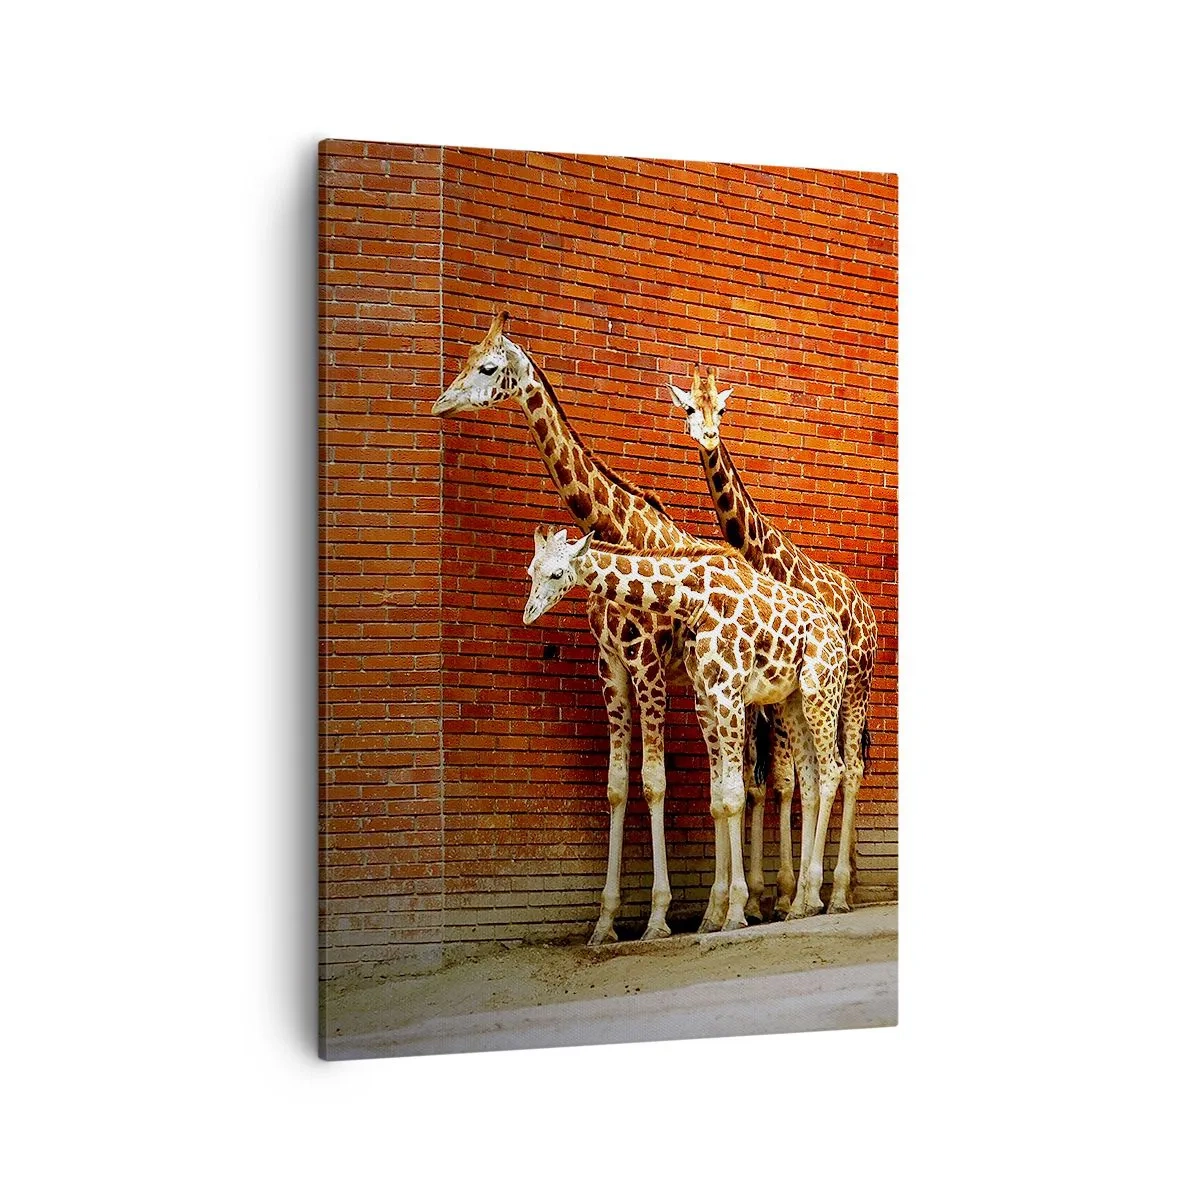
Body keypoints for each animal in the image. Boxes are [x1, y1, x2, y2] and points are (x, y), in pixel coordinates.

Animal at [433, 312, 743, 943]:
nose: (439, 404)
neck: (614, 527)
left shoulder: (647, 666)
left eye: (487, 366)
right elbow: (618, 786)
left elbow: (655, 782)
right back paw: (721, 908)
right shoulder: (612, 669)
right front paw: (605, 922)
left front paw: (656, 918)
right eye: (465, 358)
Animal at [522, 528, 847, 932]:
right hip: (791, 701)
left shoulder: (727, 689)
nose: (529, 614)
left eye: (556, 573)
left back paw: (818, 895)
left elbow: (733, 795)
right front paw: (715, 913)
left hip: (822, 689)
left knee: (834, 770)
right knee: (810, 782)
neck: (693, 599)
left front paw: (734, 912)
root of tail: (837, 633)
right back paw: (801, 903)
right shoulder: (705, 696)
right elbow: (719, 798)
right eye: (530, 570)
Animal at [668, 366, 879, 916]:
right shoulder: (766, 693)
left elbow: (792, 780)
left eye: (721, 409)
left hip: (855, 688)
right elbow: (772, 780)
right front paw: (773, 896)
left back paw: (839, 892)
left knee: (851, 769)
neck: (766, 558)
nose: (708, 436)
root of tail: (870, 612)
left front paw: (787, 894)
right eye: (689, 408)